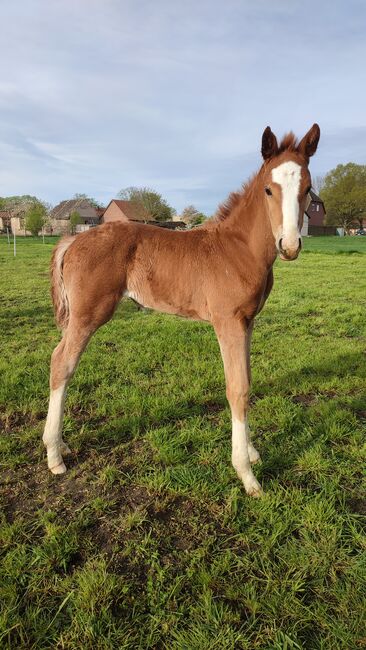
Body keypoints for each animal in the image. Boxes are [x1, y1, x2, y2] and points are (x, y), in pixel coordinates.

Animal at [44, 124, 320, 494]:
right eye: (268, 189)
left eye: (308, 189)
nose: (289, 246)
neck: (239, 249)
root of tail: (74, 239)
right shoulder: (228, 322)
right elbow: (237, 389)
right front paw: (247, 475)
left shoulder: (248, 322)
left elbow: (247, 381)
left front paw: (251, 452)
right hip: (88, 315)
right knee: (61, 363)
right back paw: (54, 455)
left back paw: (61, 445)